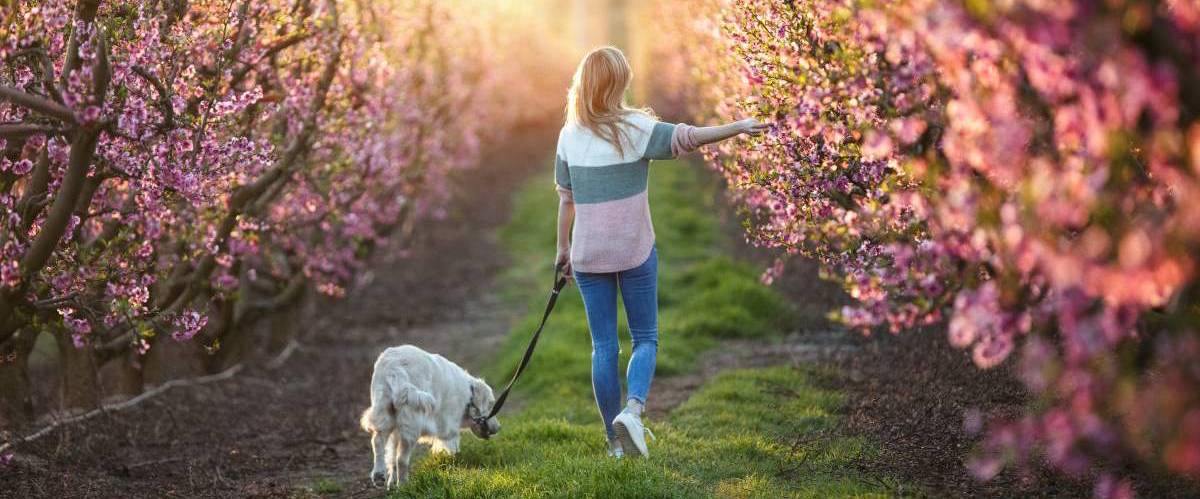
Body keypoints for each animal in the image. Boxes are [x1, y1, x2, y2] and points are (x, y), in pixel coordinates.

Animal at [360, 345, 501, 484]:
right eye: (491, 404)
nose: (499, 427)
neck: (469, 395)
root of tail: (395, 367)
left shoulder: (396, 431)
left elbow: (391, 455)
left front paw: (391, 482)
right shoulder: (449, 424)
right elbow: (452, 445)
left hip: (384, 412)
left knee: (377, 441)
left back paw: (379, 475)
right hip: (411, 423)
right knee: (401, 459)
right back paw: (404, 484)